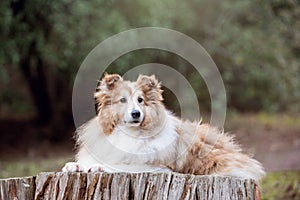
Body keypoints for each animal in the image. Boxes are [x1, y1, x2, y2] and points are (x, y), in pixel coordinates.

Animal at [62, 73, 264, 183]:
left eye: (140, 100)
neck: (130, 134)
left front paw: (98, 167)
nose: (136, 114)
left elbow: (119, 165)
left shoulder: (157, 167)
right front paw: (75, 165)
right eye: (122, 100)